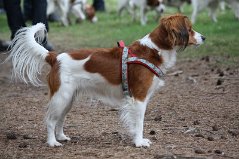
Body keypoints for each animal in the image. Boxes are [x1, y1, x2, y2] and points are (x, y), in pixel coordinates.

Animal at [6, 14, 204, 147]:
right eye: (190, 28)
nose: (204, 37)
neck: (154, 50)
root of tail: (55, 57)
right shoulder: (139, 98)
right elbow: (139, 123)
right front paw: (139, 142)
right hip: (61, 96)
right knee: (50, 120)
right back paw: (52, 142)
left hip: (68, 98)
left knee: (60, 119)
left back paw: (61, 136)